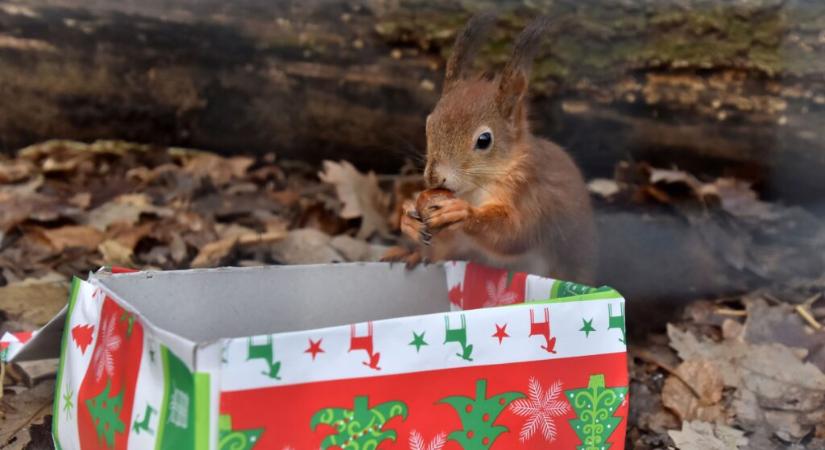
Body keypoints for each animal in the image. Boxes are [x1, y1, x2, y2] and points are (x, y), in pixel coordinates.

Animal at [384, 14, 592, 284]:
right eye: (429, 124)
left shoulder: (533, 197)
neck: (475, 189)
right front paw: (408, 217)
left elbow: (514, 235)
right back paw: (410, 254)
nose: (434, 177)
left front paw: (461, 213)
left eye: (484, 140)